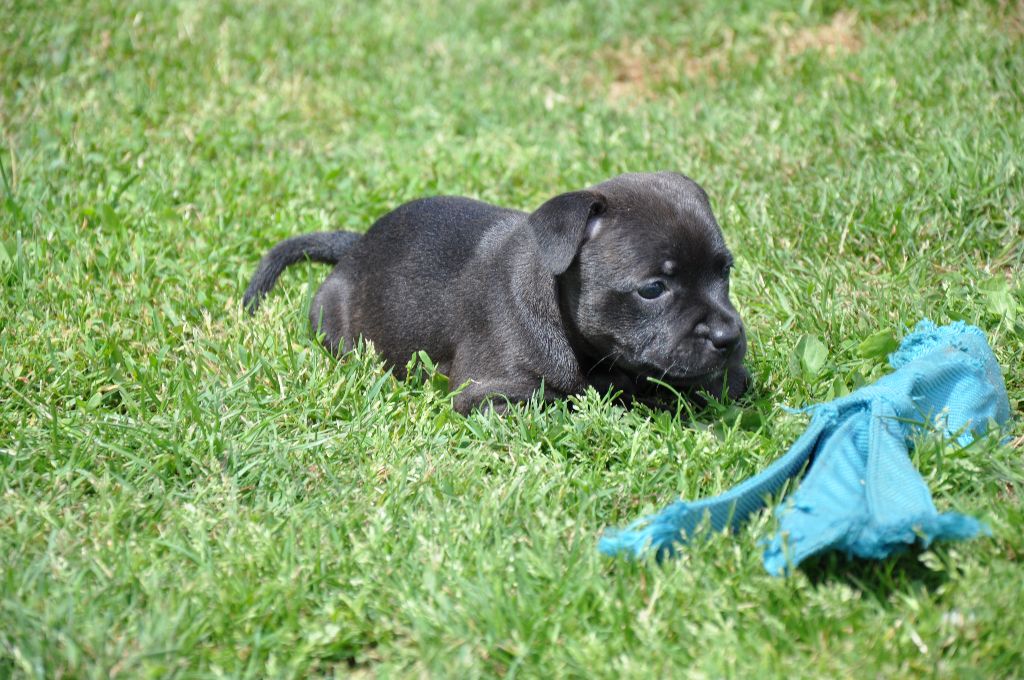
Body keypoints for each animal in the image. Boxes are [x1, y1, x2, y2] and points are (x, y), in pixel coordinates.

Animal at [244, 172, 749, 414]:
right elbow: (574, 399)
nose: (728, 338)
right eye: (653, 289)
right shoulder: (492, 394)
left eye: (725, 271)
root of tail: (355, 247)